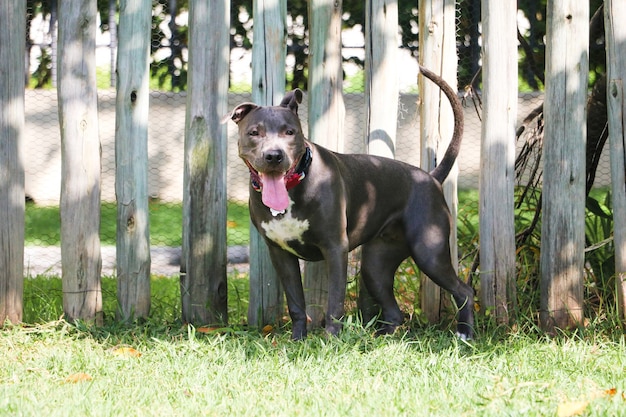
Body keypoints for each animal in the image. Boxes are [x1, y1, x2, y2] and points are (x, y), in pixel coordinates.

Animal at [222, 64, 470, 338]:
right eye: (254, 133)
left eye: (290, 132)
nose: (274, 156)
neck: (294, 185)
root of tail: (431, 177)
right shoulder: (281, 254)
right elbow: (296, 303)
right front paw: (298, 339)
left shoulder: (334, 248)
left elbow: (334, 302)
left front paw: (331, 338)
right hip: (375, 266)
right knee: (394, 310)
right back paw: (382, 337)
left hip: (429, 251)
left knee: (464, 291)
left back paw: (464, 333)